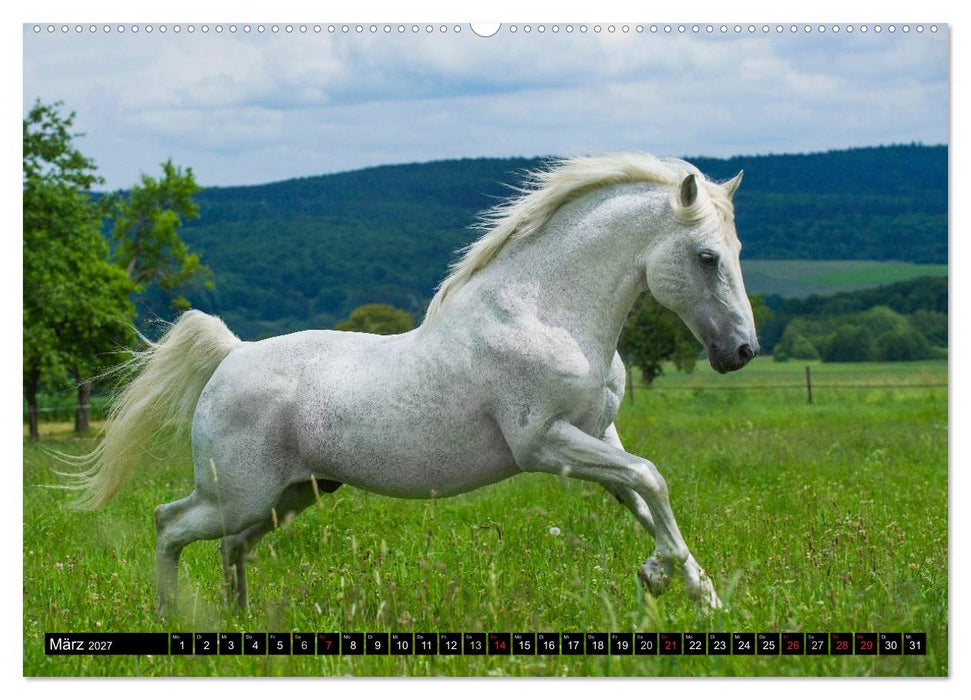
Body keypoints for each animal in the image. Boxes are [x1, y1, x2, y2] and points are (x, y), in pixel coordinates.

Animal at [64, 153, 758, 617]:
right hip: (238, 494)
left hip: (290, 496)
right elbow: (650, 478)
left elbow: (641, 497)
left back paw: (239, 624)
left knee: (231, 547)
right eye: (706, 256)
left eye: (737, 250)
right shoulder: (544, 444)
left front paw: (694, 591)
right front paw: (670, 581)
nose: (742, 351)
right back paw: (169, 620)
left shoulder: (597, 433)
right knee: (169, 523)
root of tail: (232, 355)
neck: (546, 312)